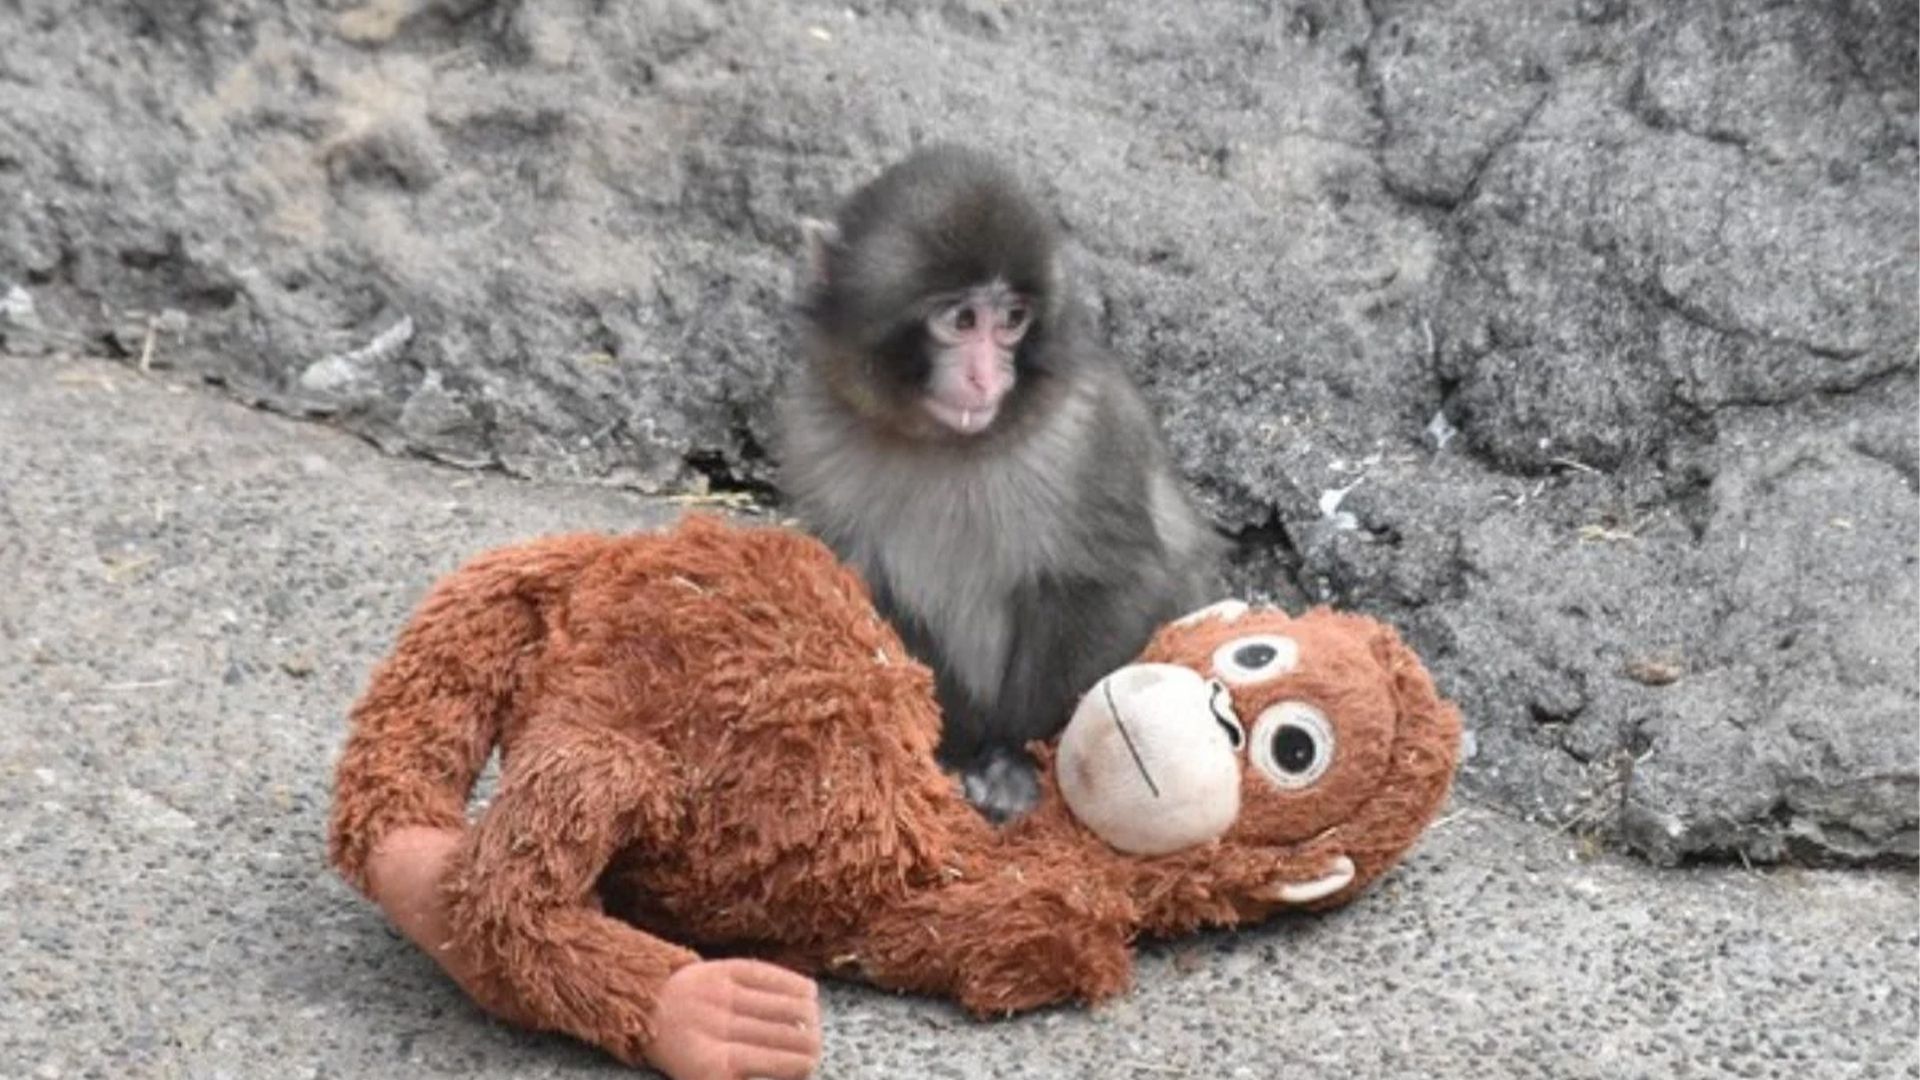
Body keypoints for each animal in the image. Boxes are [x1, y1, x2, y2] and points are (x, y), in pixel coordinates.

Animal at [775, 144, 1226, 823]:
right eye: (963, 319)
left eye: (1012, 320)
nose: (987, 378)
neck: (943, 444)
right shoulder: (813, 434)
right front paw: (947, 747)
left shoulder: (1087, 431)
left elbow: (1113, 581)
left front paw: (1012, 760)